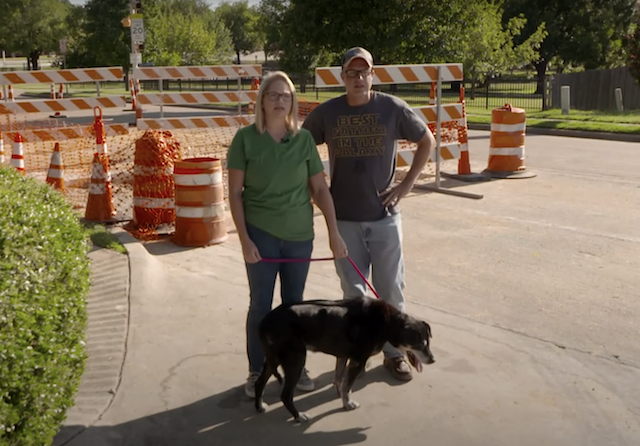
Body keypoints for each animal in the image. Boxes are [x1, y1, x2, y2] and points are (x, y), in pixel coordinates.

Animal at [252, 296, 432, 422]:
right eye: (420, 344)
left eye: (428, 342)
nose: (432, 360)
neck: (385, 321)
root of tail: (265, 321)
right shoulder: (358, 361)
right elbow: (347, 384)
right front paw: (348, 403)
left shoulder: (343, 356)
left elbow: (340, 380)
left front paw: (343, 396)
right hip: (295, 359)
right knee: (286, 395)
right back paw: (298, 416)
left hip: (274, 359)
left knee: (259, 383)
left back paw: (259, 406)